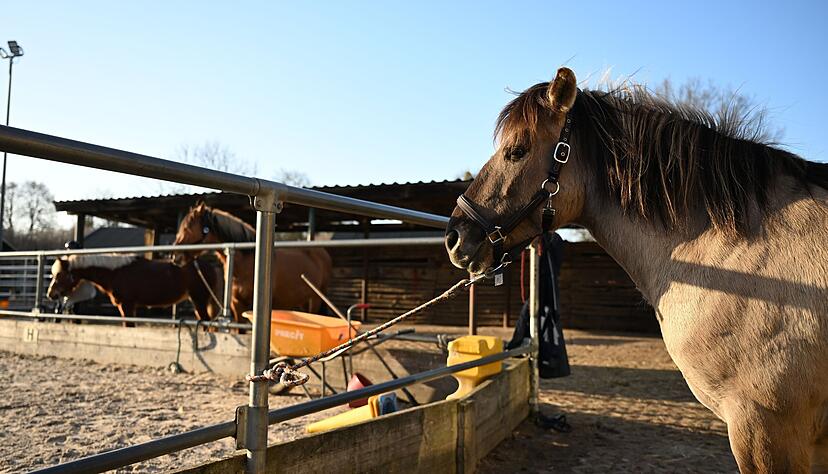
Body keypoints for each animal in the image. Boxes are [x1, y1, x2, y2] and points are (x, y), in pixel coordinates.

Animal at [172, 203, 333, 323]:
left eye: (187, 228)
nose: (175, 256)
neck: (246, 261)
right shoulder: (237, 305)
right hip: (304, 301)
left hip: (316, 299)